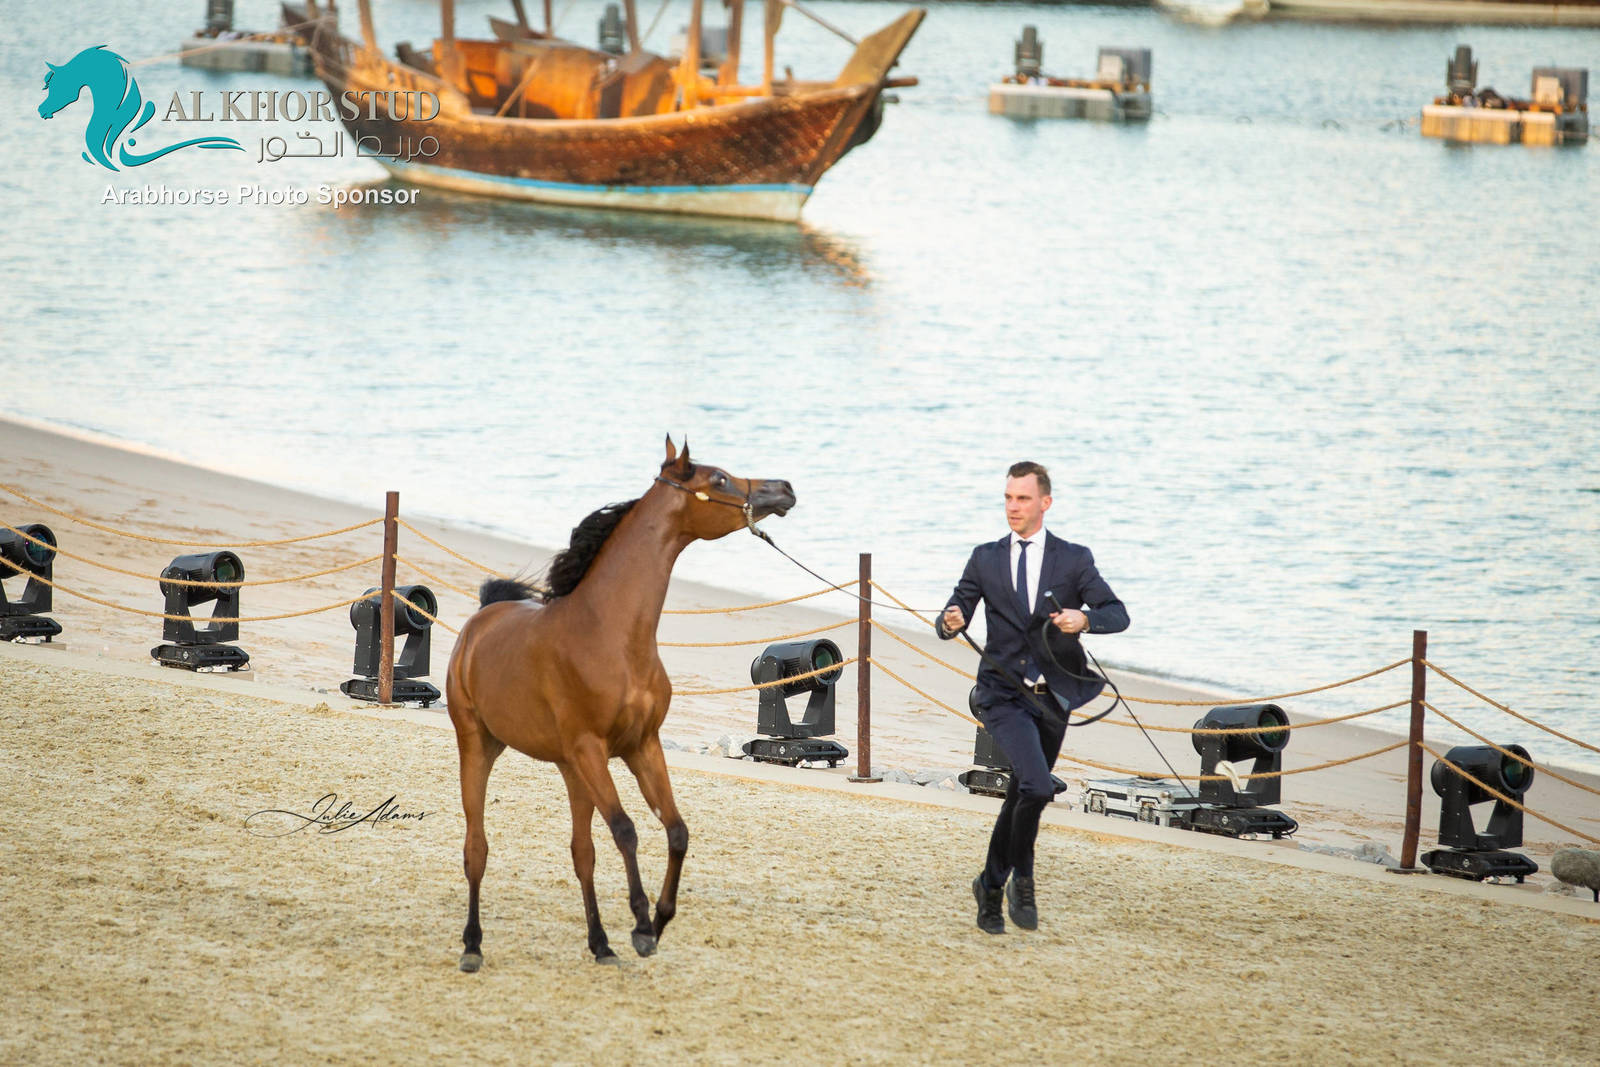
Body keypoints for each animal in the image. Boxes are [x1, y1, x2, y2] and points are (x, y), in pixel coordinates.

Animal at [445, 437, 795, 969]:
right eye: (718, 478)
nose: (784, 489)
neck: (611, 632)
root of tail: (480, 621)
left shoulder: (641, 746)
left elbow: (675, 830)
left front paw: (659, 921)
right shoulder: (594, 749)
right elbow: (627, 830)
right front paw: (642, 927)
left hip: (569, 769)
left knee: (581, 852)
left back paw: (600, 944)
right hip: (480, 746)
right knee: (476, 848)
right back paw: (472, 945)